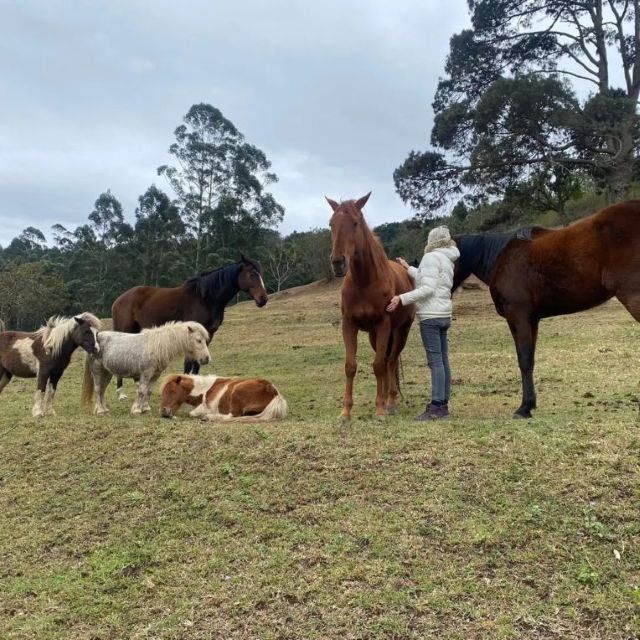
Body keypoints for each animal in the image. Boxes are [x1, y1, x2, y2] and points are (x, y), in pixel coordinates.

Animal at [81, 321, 211, 416]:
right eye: (199, 340)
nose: (206, 359)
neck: (157, 346)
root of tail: (96, 340)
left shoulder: (155, 375)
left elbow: (148, 391)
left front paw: (146, 408)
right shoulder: (145, 373)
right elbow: (142, 390)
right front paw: (137, 410)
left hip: (107, 373)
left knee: (102, 390)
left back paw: (104, 409)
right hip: (97, 371)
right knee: (98, 389)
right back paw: (100, 411)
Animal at [111, 255, 268, 400]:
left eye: (260, 273)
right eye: (252, 274)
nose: (263, 299)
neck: (205, 298)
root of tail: (119, 299)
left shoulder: (208, 334)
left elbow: (197, 364)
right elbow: (188, 364)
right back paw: (121, 394)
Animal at [159, 373, 288, 422]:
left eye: (172, 391)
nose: (164, 413)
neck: (204, 389)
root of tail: (274, 391)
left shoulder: (206, 407)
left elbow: (192, 413)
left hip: (237, 393)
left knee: (232, 416)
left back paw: (208, 417)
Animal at [327, 192, 416, 420]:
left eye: (355, 223)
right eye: (331, 224)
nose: (338, 263)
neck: (364, 282)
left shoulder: (383, 324)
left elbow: (378, 365)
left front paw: (380, 411)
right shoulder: (349, 325)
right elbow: (351, 366)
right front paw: (346, 412)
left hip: (401, 331)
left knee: (390, 361)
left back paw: (390, 402)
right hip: (374, 336)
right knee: (385, 362)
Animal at [452, 199, 640, 418]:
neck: (501, 258)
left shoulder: (518, 316)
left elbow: (524, 358)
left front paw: (524, 408)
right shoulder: (532, 319)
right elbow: (530, 359)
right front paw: (530, 403)